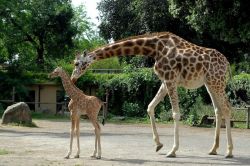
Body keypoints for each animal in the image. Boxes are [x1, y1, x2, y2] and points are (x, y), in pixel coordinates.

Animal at [70, 31, 232, 158]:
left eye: (76, 63)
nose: (72, 78)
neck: (155, 48)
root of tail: (227, 64)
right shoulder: (165, 81)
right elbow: (150, 107)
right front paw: (158, 144)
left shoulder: (170, 79)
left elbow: (175, 113)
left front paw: (172, 151)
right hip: (210, 84)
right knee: (218, 110)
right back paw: (213, 149)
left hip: (217, 82)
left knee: (227, 109)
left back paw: (229, 152)